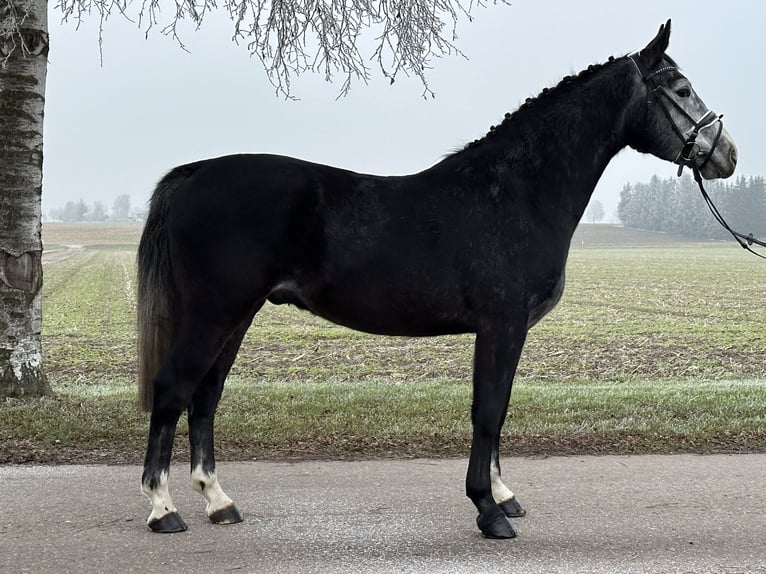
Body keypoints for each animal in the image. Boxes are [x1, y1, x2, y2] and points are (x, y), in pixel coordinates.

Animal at [136, 20, 736, 544]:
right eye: (681, 89)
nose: (727, 155)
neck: (515, 193)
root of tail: (195, 172)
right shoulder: (501, 325)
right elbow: (487, 411)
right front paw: (488, 511)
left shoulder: (507, 331)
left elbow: (500, 408)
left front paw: (503, 495)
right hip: (214, 313)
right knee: (174, 389)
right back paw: (163, 510)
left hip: (237, 315)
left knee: (206, 397)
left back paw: (219, 502)